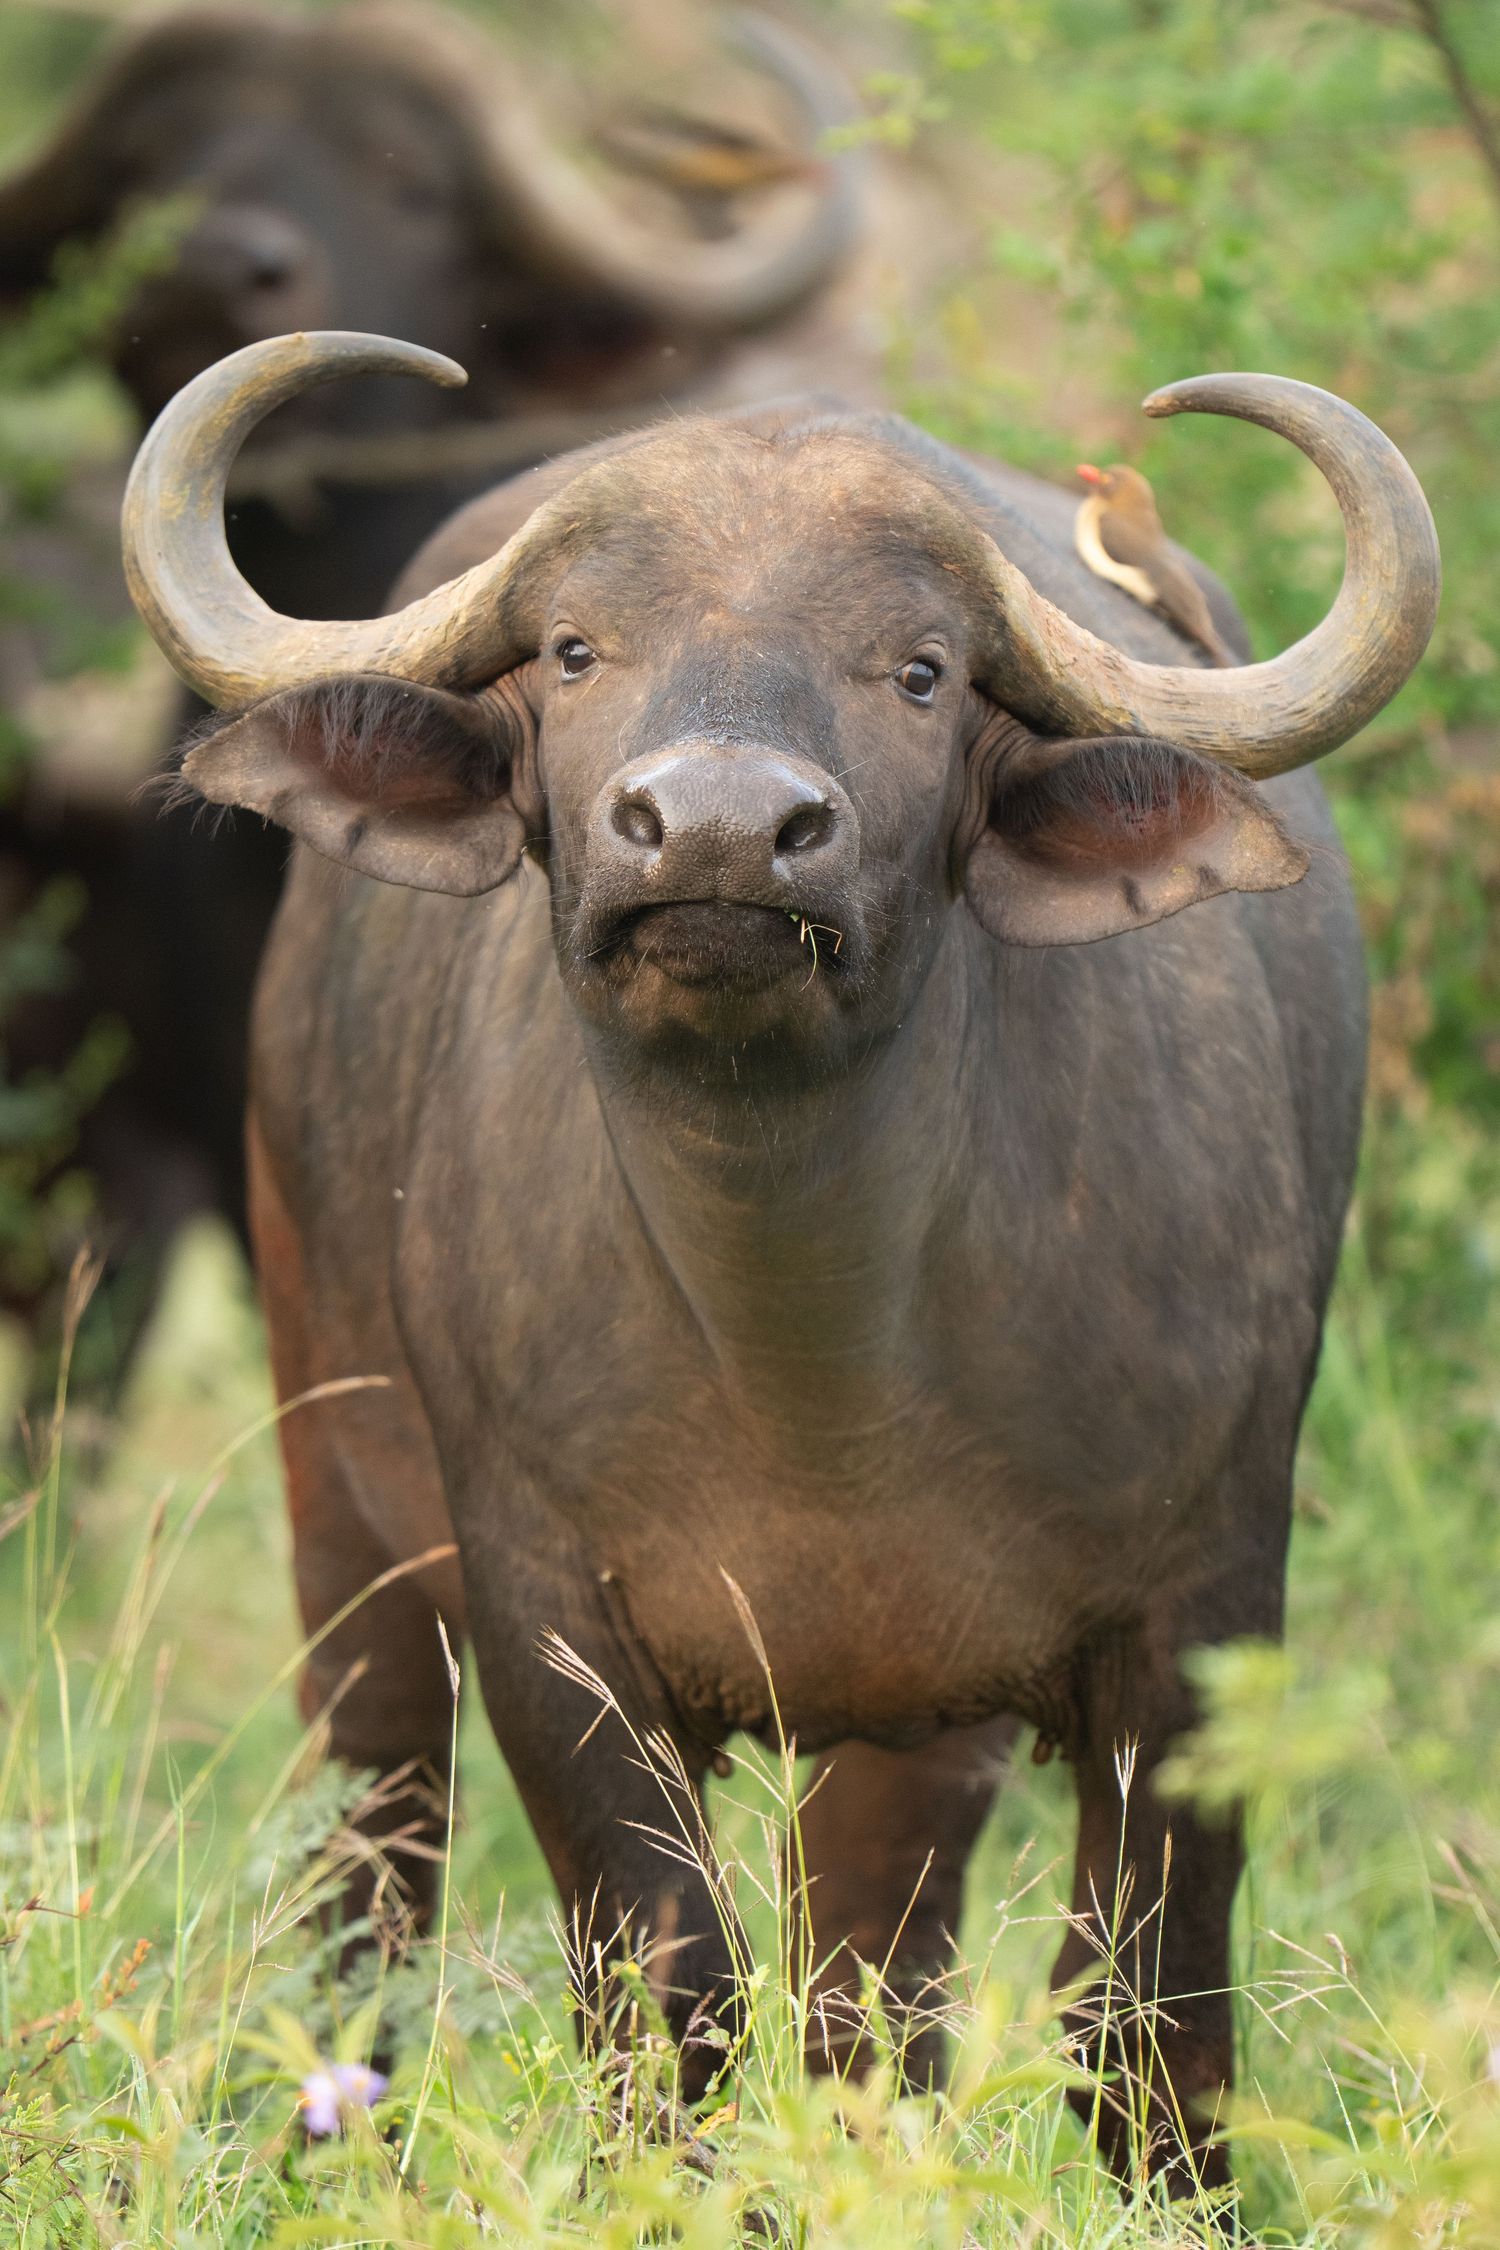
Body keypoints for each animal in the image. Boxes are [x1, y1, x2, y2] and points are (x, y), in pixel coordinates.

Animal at [122, 329, 1438, 2189]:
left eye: (921, 671)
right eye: (577, 648)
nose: (721, 833)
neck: (816, 1356)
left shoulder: (1200, 1606)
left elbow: (1148, 2011)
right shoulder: (546, 1622)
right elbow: (666, 1980)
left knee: (874, 1976)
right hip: (337, 1499)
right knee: (374, 1846)